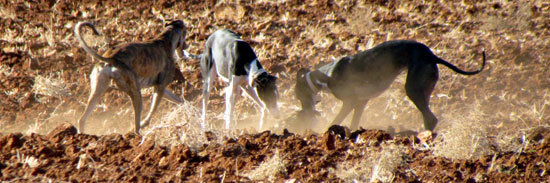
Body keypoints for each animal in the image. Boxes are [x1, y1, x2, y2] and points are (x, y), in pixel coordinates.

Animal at [298, 40, 488, 132]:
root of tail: (431, 55)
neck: (325, 75)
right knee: (429, 117)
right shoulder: (361, 102)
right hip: (423, 89)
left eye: (298, 97)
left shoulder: (350, 102)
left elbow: (336, 120)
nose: (304, 112)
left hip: (412, 89)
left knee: (430, 118)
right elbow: (353, 123)